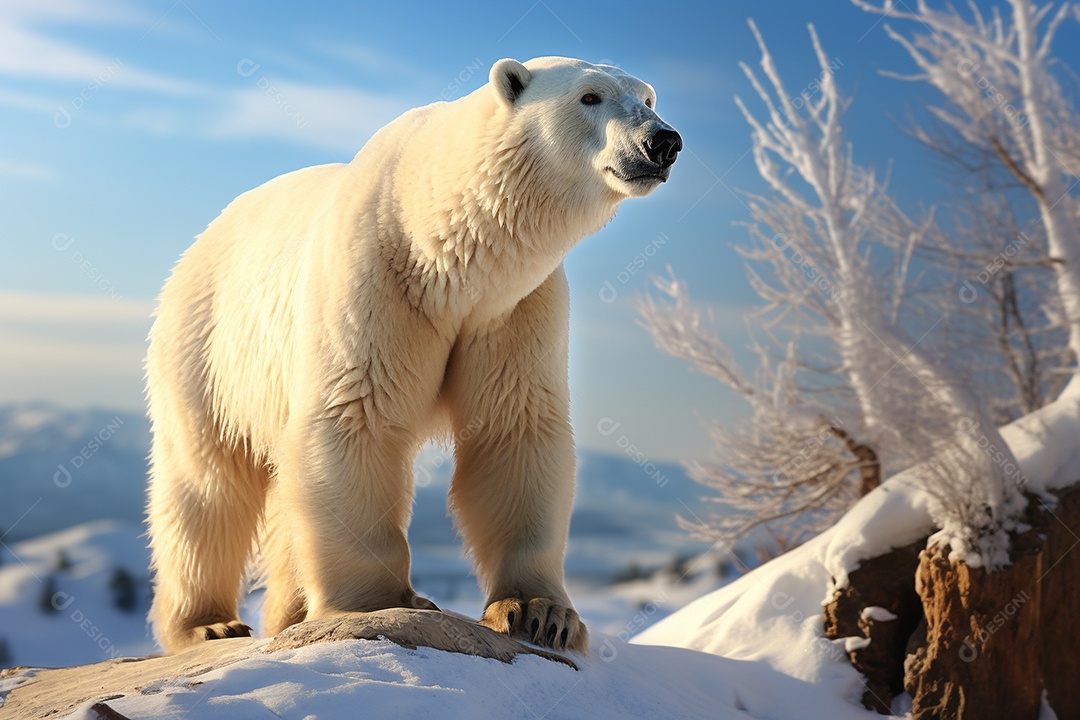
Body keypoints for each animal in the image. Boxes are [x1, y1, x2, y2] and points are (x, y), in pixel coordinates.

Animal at [145, 56, 681, 654]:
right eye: (590, 96)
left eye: (650, 99)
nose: (663, 142)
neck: (442, 250)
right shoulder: (376, 277)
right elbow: (356, 416)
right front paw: (376, 603)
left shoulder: (515, 307)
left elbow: (514, 429)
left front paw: (541, 613)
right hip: (208, 344)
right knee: (206, 482)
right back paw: (208, 622)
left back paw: (289, 611)